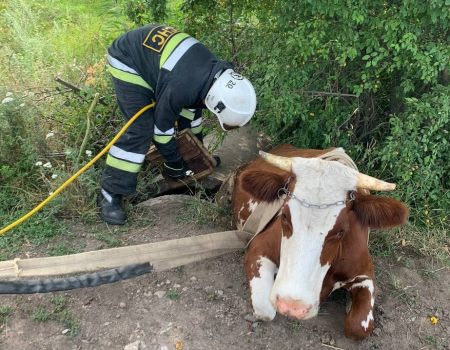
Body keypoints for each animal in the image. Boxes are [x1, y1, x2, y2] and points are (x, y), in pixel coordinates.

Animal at [232, 145, 408, 340]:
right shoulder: (258, 248)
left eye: (341, 231)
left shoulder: (365, 272)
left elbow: (358, 327)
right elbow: (265, 311)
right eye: (284, 216)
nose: (292, 306)